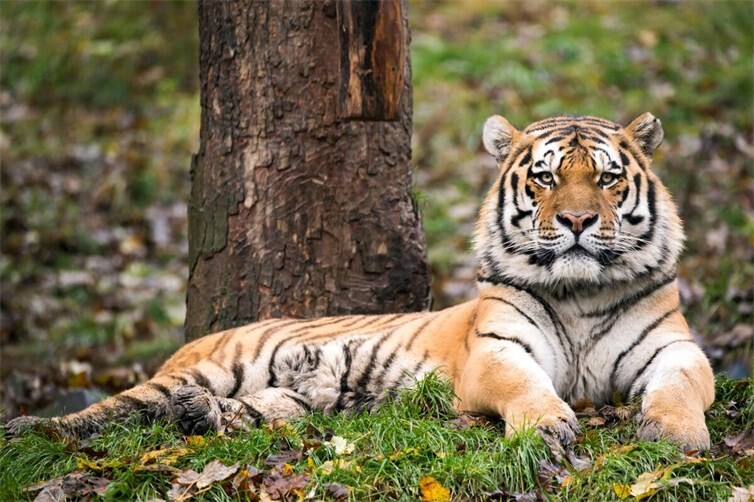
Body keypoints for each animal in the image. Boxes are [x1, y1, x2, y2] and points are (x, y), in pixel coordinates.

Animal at [5, 113, 715, 451]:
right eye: (544, 178)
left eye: (606, 178)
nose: (575, 221)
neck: (580, 294)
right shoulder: (497, 351)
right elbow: (525, 385)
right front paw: (548, 425)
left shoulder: (676, 349)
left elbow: (682, 386)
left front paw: (678, 435)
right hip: (208, 367)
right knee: (107, 411)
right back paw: (31, 431)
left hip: (289, 400)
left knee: (239, 413)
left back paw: (201, 416)